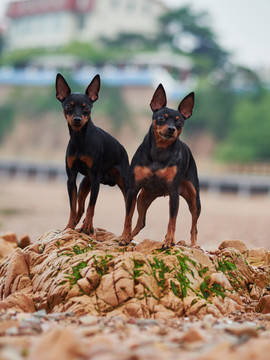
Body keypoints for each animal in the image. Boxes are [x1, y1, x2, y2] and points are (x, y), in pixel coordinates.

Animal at [55, 74, 129, 235]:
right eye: (68, 107)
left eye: (87, 108)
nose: (77, 119)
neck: (79, 140)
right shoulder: (72, 178)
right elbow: (73, 207)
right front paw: (69, 227)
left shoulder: (95, 178)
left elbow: (91, 206)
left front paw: (88, 227)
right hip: (84, 184)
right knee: (80, 208)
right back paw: (76, 223)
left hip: (125, 186)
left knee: (130, 211)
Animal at [119, 84, 200, 248]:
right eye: (162, 118)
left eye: (179, 123)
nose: (171, 129)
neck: (159, 152)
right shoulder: (133, 190)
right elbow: (128, 217)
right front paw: (124, 236)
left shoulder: (174, 194)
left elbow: (172, 221)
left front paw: (169, 240)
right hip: (143, 198)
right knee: (141, 221)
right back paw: (130, 237)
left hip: (195, 200)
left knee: (194, 226)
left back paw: (194, 245)